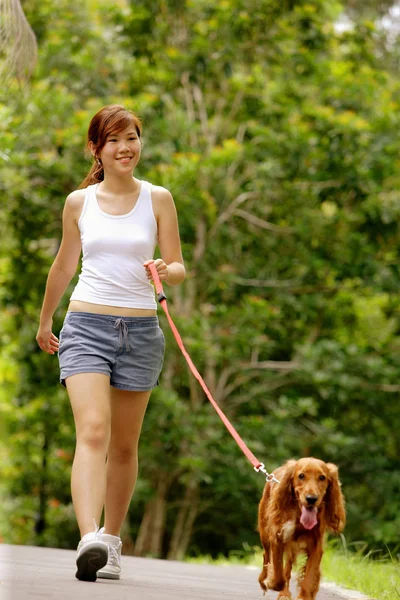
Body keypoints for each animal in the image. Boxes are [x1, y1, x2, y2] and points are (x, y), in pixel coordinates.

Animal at [258, 458, 346, 596]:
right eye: (301, 476)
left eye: (322, 477)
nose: (311, 499)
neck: (298, 512)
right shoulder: (278, 537)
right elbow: (278, 578)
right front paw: (270, 581)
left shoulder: (316, 546)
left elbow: (308, 581)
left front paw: (304, 595)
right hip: (265, 535)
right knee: (266, 556)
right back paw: (263, 581)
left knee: (287, 567)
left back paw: (284, 595)